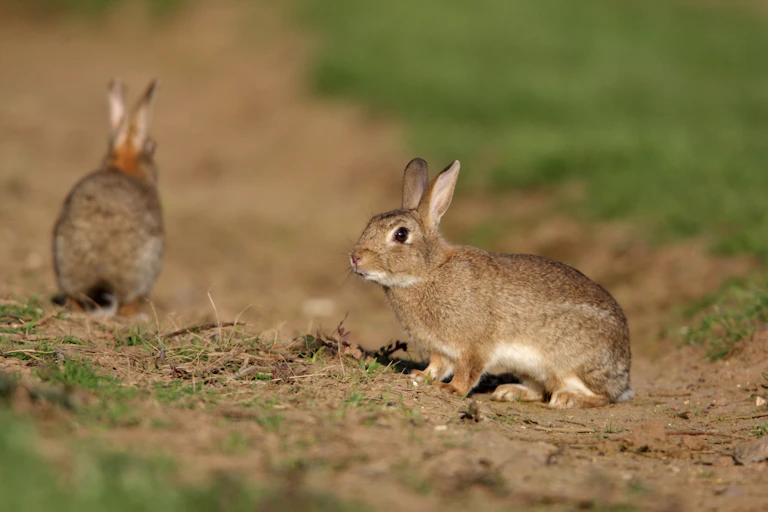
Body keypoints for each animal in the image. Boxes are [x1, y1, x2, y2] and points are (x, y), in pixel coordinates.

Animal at [349, 158, 632, 408]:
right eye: (369, 225)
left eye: (400, 234)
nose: (355, 258)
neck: (429, 272)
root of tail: (624, 374)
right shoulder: (441, 349)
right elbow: (438, 365)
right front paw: (420, 377)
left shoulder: (476, 344)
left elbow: (468, 370)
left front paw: (451, 390)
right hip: (530, 368)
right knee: (539, 390)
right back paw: (509, 392)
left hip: (567, 364)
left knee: (602, 396)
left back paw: (567, 399)